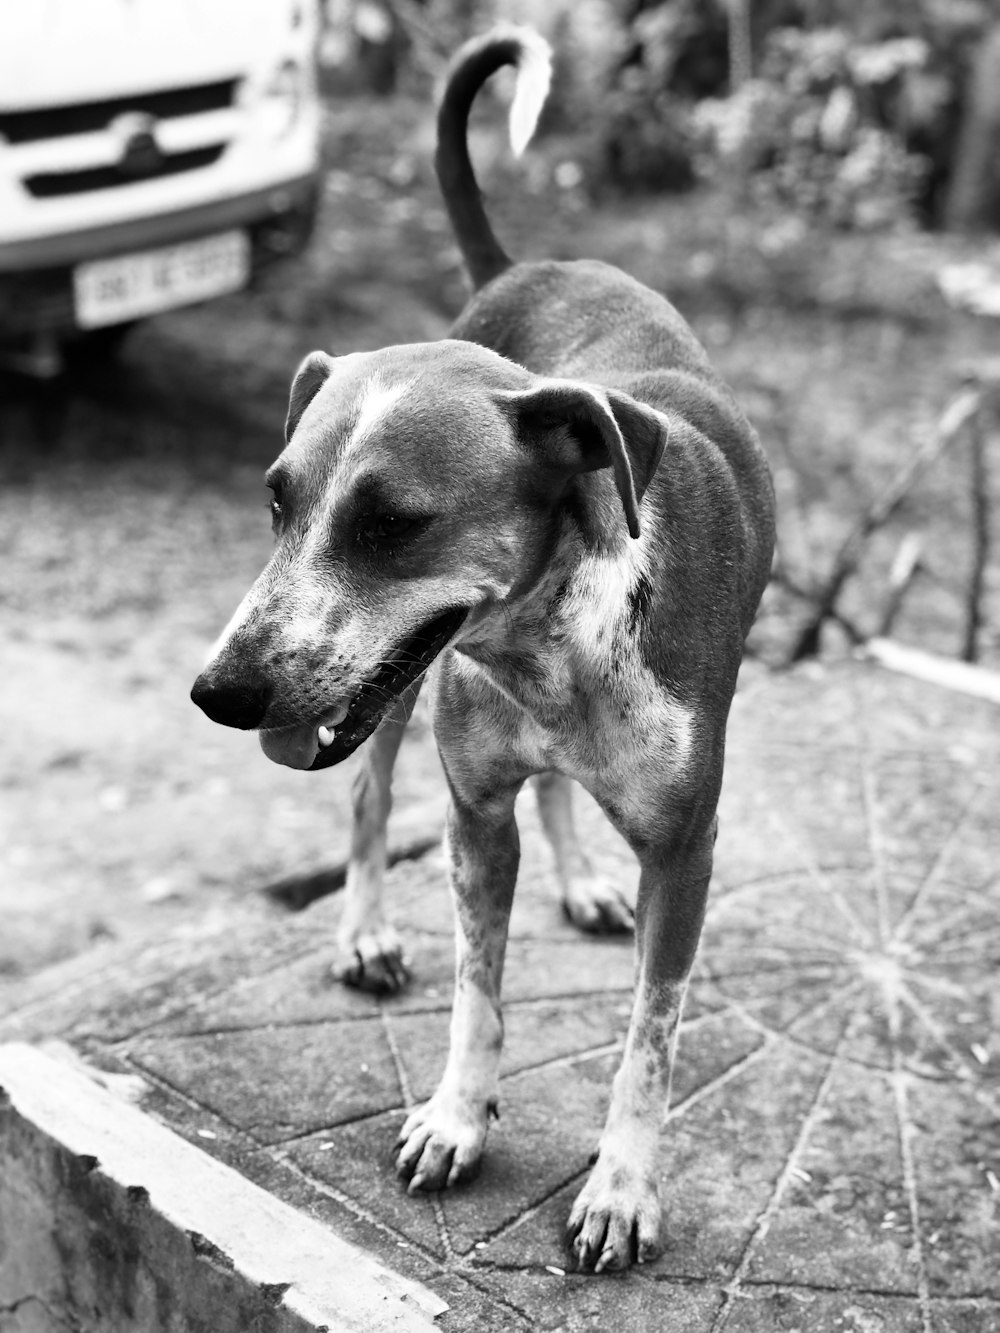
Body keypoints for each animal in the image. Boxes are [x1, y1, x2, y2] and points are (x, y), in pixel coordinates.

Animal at [192, 23, 778, 1269]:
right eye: (276, 501)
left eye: (390, 521)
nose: (219, 692)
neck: (549, 649)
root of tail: (518, 265)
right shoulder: (470, 812)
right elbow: (477, 986)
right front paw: (457, 1118)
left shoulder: (687, 850)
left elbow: (649, 1039)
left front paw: (620, 1189)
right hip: (391, 700)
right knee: (367, 796)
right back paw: (367, 934)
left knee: (546, 794)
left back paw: (582, 878)